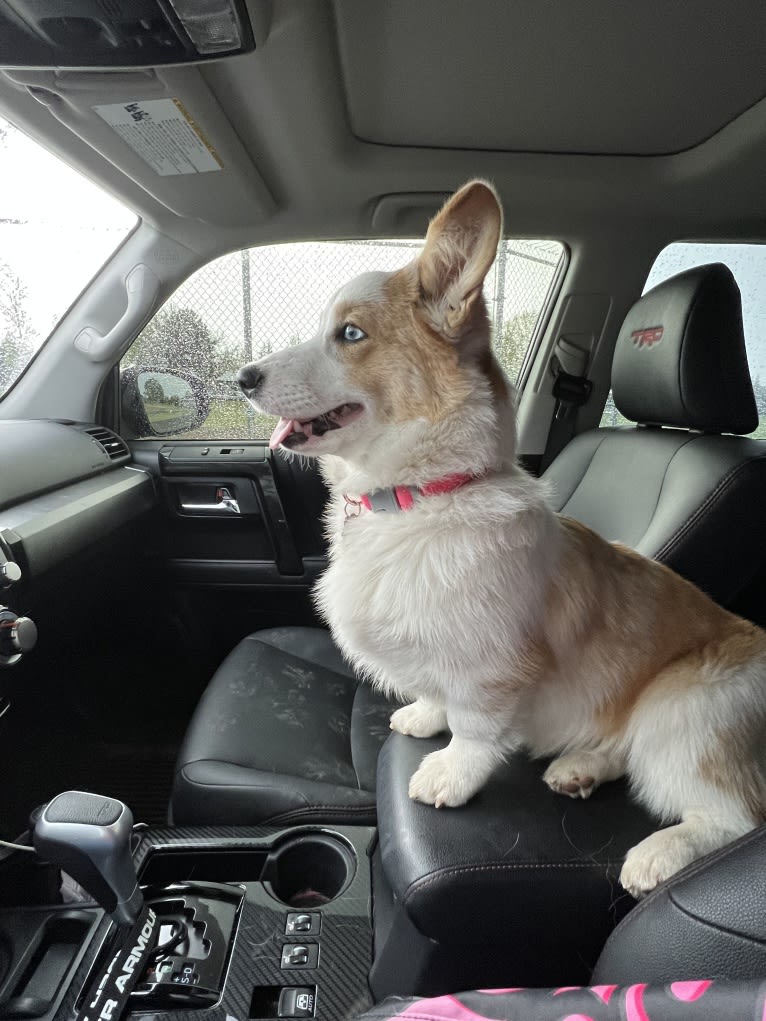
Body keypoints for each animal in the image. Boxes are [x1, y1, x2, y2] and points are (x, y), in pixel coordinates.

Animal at [238, 181, 766, 894]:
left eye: (350, 333)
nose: (243, 378)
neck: (423, 496)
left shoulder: (490, 668)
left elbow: (474, 727)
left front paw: (448, 775)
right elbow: (437, 694)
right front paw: (422, 716)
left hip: (681, 714)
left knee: (732, 815)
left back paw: (658, 854)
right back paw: (581, 768)